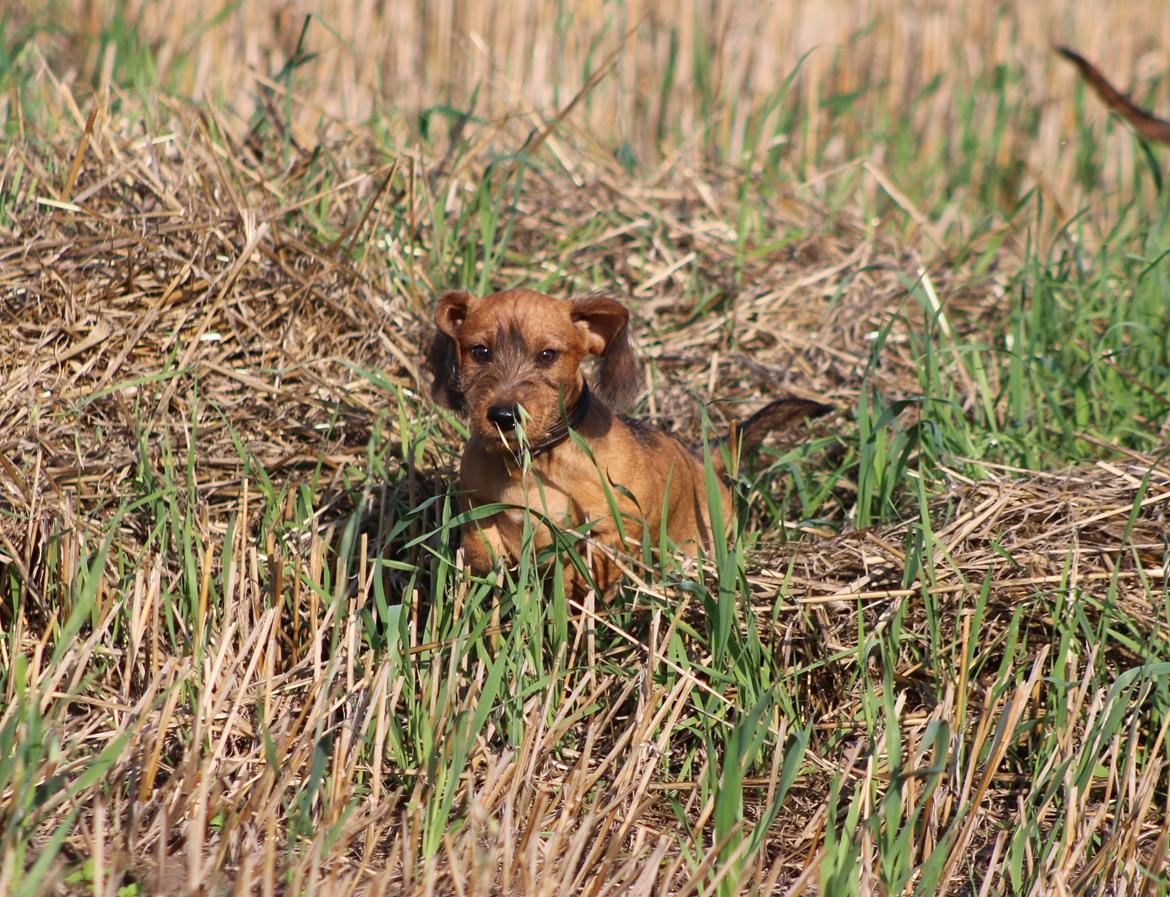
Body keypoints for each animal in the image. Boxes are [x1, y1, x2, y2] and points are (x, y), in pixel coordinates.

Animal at [425, 290, 828, 596]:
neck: (534, 460)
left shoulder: (612, 531)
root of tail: (699, 455)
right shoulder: (478, 510)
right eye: (480, 351)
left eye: (547, 355)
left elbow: (580, 580)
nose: (504, 416)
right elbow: (482, 553)